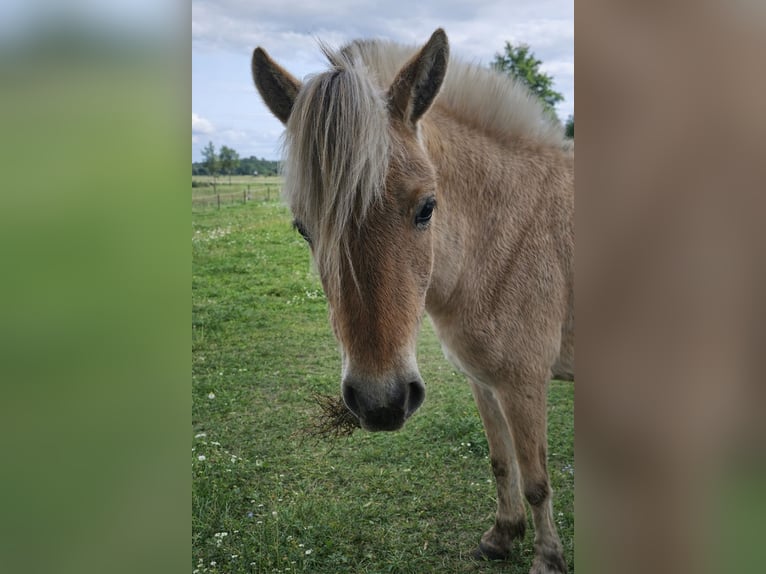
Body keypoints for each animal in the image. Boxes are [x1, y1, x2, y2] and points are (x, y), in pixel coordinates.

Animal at [251, 28, 574, 574]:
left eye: (427, 208)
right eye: (303, 228)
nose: (381, 403)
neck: (506, 237)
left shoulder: (524, 384)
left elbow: (536, 481)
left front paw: (547, 559)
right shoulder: (484, 382)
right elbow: (500, 461)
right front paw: (501, 535)